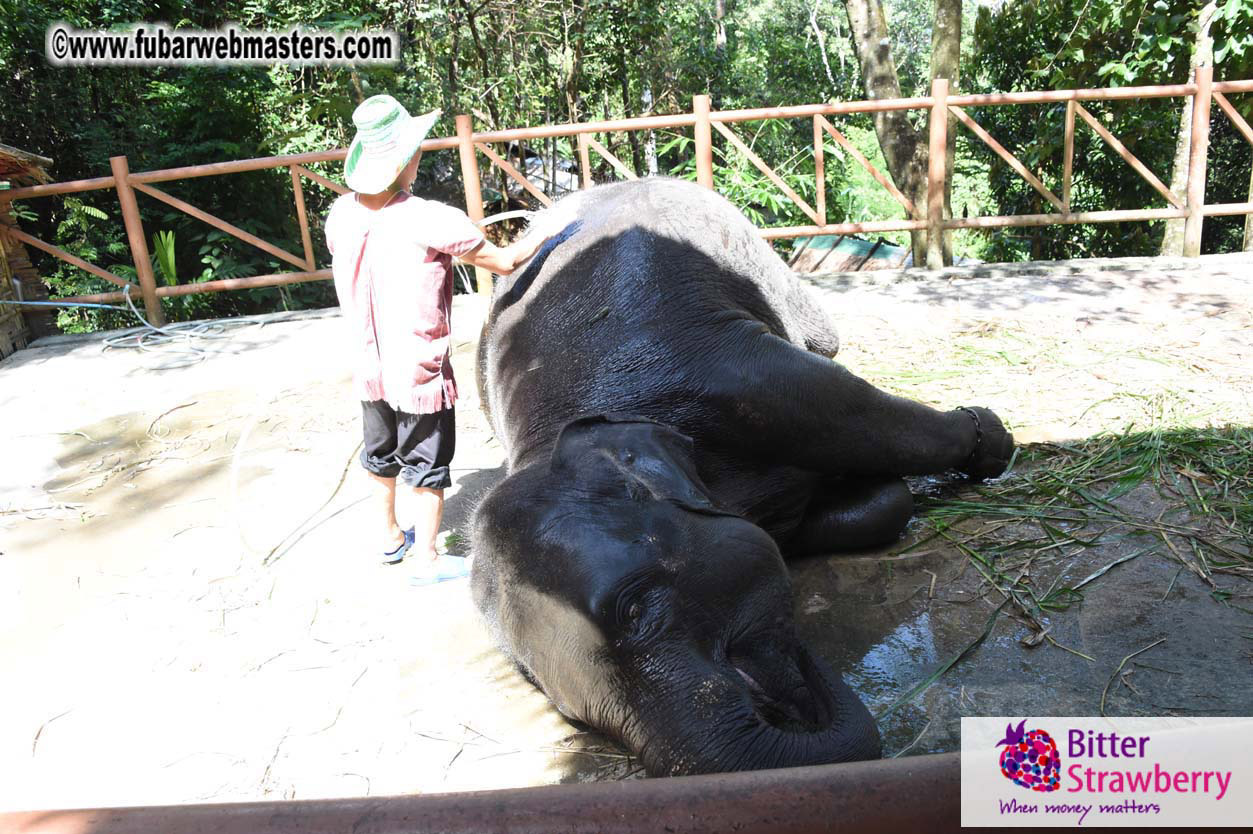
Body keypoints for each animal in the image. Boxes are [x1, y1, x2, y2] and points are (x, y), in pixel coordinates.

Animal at [469, 178, 1013, 777]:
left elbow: (862, 411)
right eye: (567, 710)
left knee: (825, 340)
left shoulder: (740, 374)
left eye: (633, 609)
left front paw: (992, 441)